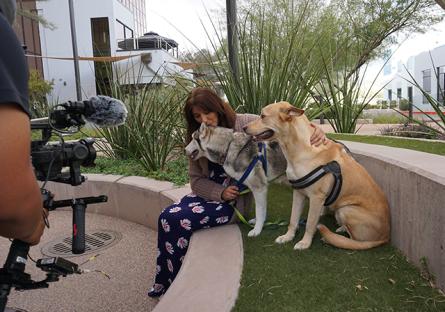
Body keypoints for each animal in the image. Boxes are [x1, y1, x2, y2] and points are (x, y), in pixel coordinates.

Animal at [243, 102, 388, 251]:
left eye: (263, 116)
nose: (244, 128)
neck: (300, 148)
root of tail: (385, 237)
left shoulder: (316, 198)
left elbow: (310, 224)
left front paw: (305, 243)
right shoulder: (298, 193)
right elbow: (293, 219)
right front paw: (287, 237)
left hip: (346, 209)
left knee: (355, 241)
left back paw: (334, 237)